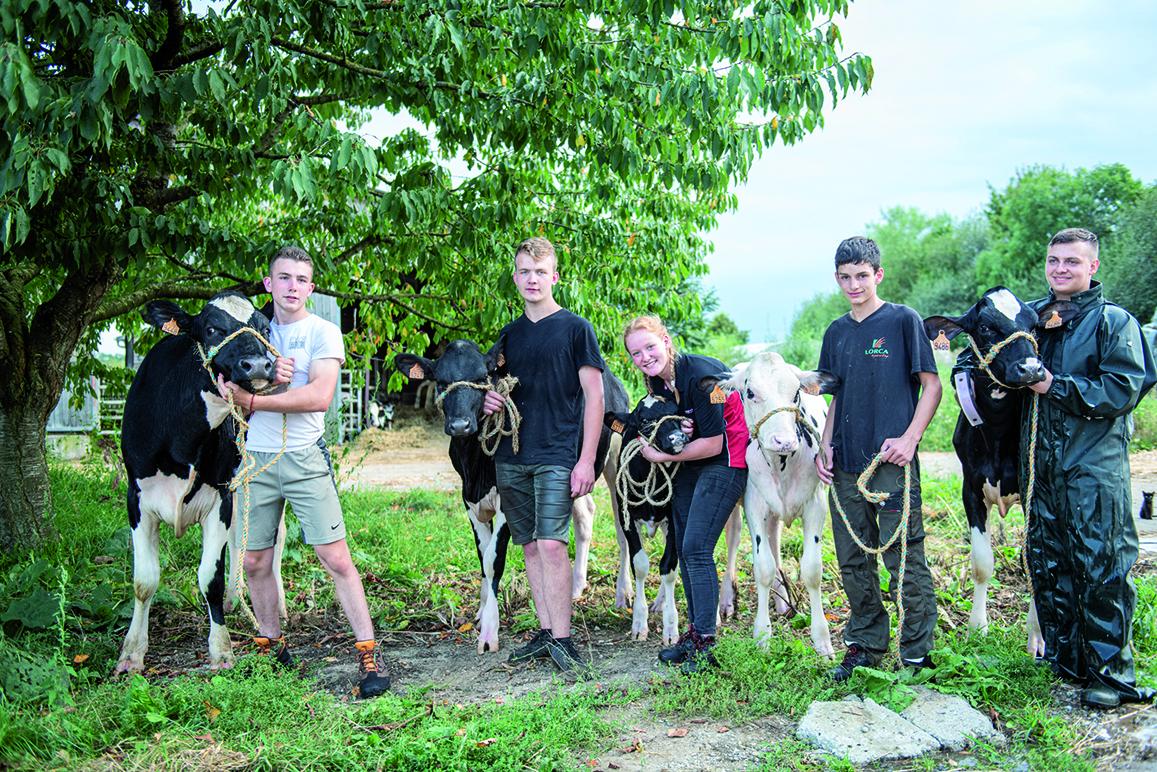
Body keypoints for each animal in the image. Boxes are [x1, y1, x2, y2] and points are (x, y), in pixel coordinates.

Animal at [116, 292, 278, 671]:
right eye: (212, 328)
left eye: (265, 328)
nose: (259, 366)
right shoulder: (137, 499)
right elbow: (144, 581)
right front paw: (132, 652)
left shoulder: (219, 498)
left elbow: (209, 578)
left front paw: (221, 649)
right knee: (240, 539)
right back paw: (236, 599)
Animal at [400, 342, 634, 652]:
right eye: (440, 381)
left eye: (482, 378)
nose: (460, 425)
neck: (475, 467)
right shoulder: (469, 501)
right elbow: (482, 557)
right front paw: (481, 611)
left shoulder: (506, 501)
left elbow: (493, 559)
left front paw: (489, 632)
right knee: (585, 514)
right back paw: (575, 586)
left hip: (616, 463)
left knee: (621, 527)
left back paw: (624, 592)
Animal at [708, 354, 837, 657]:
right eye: (750, 392)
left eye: (796, 393)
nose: (784, 441)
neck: (782, 465)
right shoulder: (754, 505)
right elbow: (762, 567)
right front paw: (762, 636)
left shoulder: (816, 505)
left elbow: (812, 570)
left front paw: (822, 639)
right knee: (734, 540)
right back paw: (726, 601)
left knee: (774, 539)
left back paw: (782, 600)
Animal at [920, 287, 1073, 657]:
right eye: (986, 328)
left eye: (1034, 326)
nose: (1031, 368)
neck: (999, 434)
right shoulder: (971, 488)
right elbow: (981, 562)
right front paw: (978, 628)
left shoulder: (1035, 491)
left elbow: (1036, 560)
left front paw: (1038, 636)